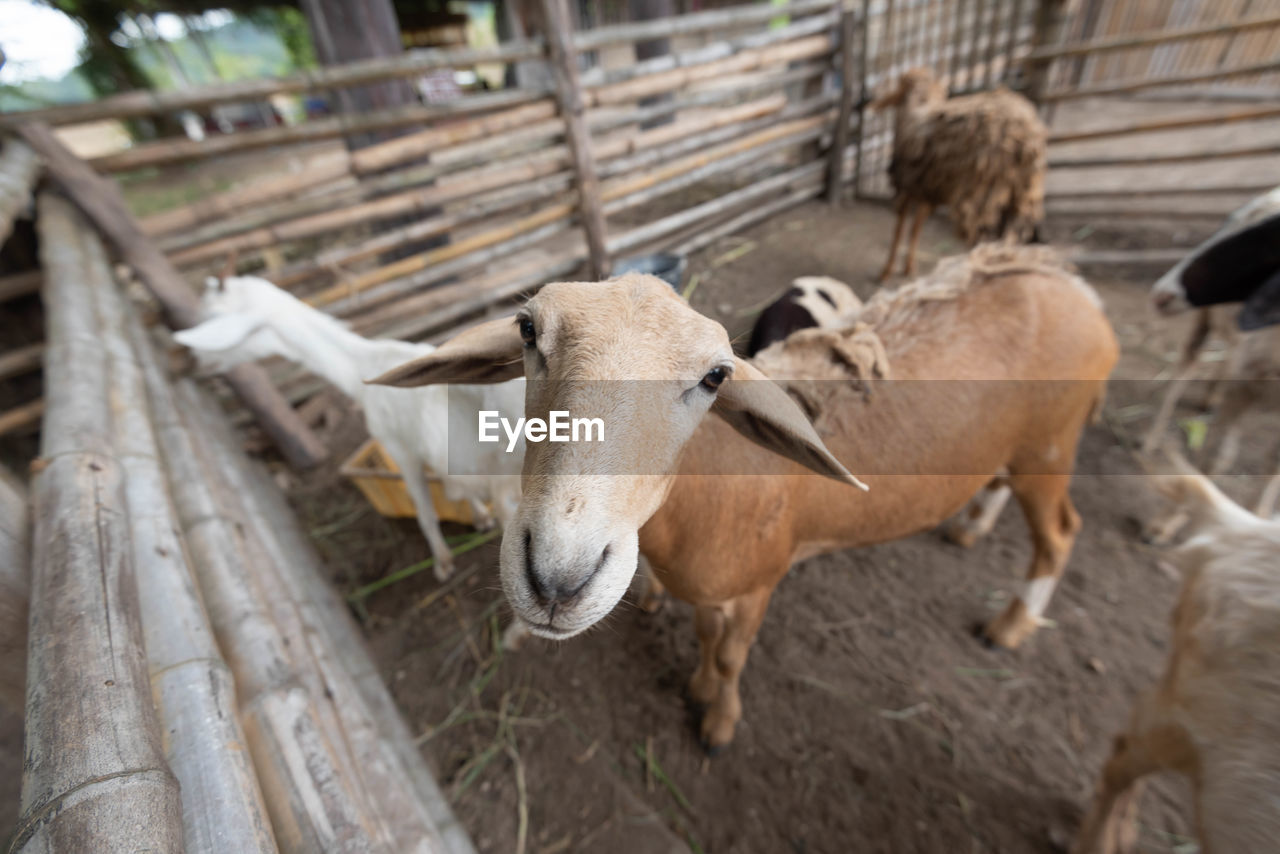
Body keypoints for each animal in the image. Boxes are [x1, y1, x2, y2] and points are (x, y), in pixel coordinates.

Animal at [175, 273, 524, 581]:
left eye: (211, 319)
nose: (192, 364)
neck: (362, 370)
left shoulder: (398, 448)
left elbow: (424, 511)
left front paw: (442, 563)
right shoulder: (432, 448)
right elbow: (453, 480)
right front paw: (480, 516)